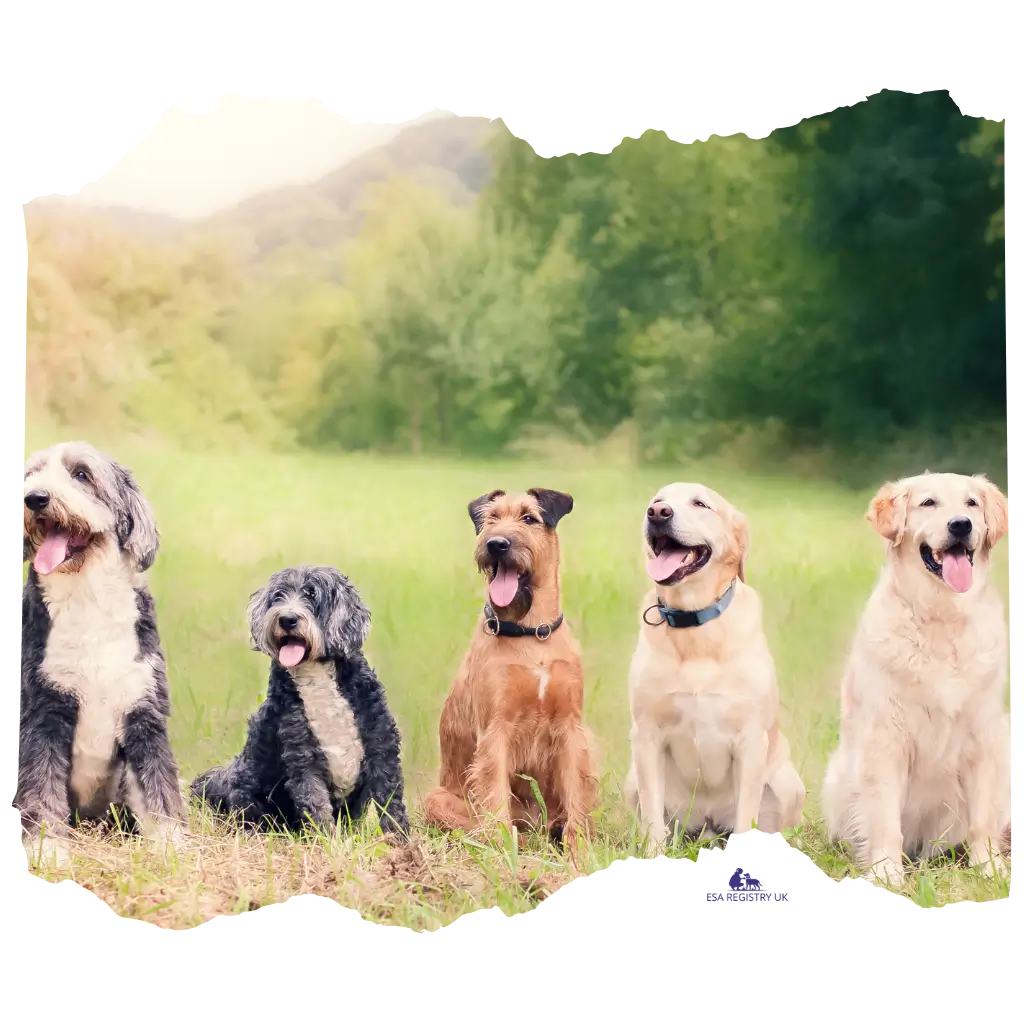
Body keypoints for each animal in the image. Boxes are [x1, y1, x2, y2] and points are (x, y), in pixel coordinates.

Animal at [19, 440, 184, 864]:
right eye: (32, 474)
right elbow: (41, 788)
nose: (35, 498)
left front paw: (172, 846)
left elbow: (159, 787)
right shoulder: (42, 713)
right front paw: (47, 849)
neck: (86, 597)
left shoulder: (144, 713)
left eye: (81, 474)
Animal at [193, 561, 409, 839]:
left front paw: (400, 840)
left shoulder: (382, 747)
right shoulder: (303, 757)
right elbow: (315, 805)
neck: (316, 675)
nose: (287, 618)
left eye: (311, 594)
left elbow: (390, 801)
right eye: (278, 596)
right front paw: (326, 842)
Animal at [423, 491, 598, 860]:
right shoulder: (496, 730)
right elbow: (495, 797)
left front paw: (580, 848)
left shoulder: (570, 728)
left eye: (529, 518)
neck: (531, 633)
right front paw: (503, 847)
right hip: (437, 799)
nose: (496, 544)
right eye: (490, 519)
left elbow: (576, 793)